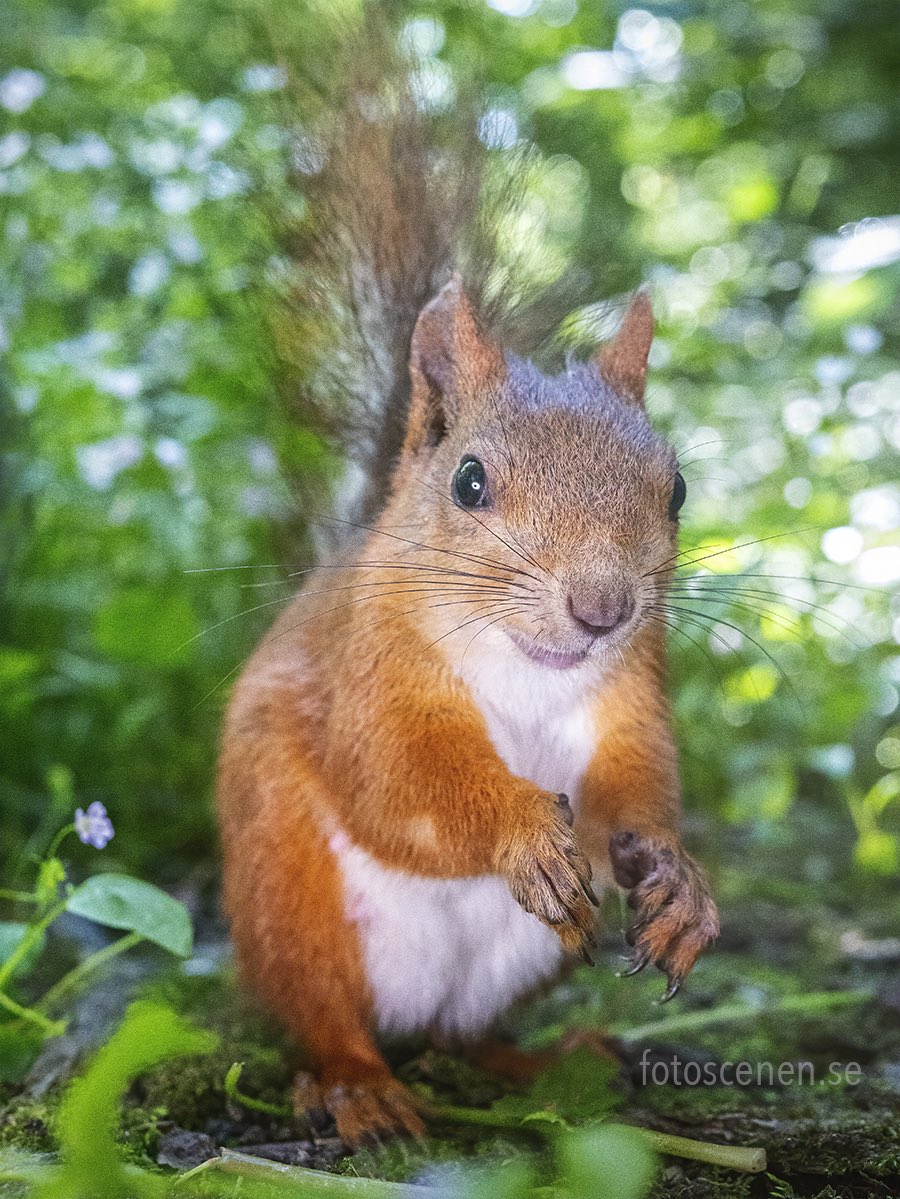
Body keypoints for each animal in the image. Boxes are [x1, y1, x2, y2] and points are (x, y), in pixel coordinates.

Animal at [216, 24, 719, 1148]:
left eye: (675, 487)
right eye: (471, 481)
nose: (602, 609)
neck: (528, 667)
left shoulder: (635, 692)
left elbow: (637, 783)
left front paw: (677, 878)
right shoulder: (369, 673)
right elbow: (401, 777)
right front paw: (521, 827)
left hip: (531, 959)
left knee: (466, 1032)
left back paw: (545, 1058)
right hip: (288, 895)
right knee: (324, 1014)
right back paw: (357, 1087)